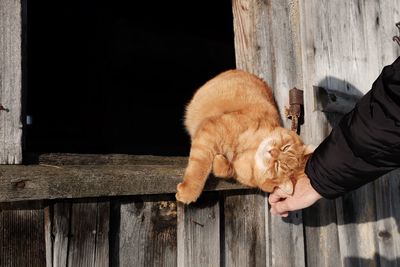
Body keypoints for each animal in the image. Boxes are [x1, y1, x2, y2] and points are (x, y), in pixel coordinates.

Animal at [177, 70, 314, 204]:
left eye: (277, 166)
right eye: (285, 147)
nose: (272, 152)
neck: (251, 152)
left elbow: (226, 170)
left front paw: (218, 162)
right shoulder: (213, 130)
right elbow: (199, 165)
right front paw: (188, 192)